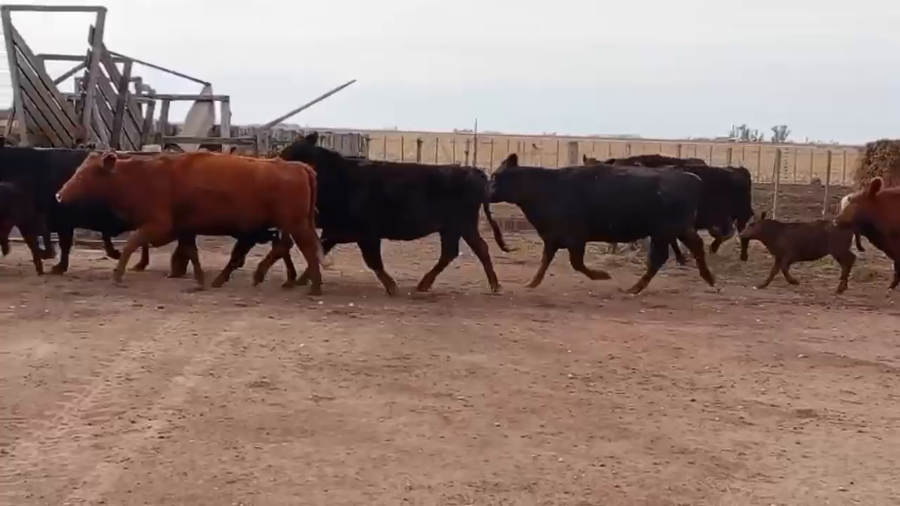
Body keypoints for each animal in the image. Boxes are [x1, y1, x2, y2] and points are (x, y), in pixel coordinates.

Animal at [55, 151, 324, 294]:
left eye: (84, 174)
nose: (59, 195)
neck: (145, 176)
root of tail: (299, 166)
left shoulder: (158, 225)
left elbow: (132, 243)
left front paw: (117, 274)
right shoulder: (184, 229)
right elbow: (191, 252)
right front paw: (200, 280)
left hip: (295, 225)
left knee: (308, 249)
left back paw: (314, 286)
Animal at [268, 132, 511, 296]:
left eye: (291, 153)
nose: (274, 163)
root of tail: (474, 171)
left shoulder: (366, 234)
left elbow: (373, 261)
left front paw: (391, 286)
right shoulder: (336, 230)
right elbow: (321, 250)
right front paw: (301, 279)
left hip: (456, 226)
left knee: (454, 252)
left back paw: (426, 284)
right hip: (462, 227)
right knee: (478, 249)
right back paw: (493, 284)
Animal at [489, 153, 715, 294]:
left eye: (495, 177)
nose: (487, 191)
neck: (545, 188)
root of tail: (691, 178)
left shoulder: (575, 238)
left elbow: (577, 264)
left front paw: (602, 275)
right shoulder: (552, 238)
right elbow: (545, 261)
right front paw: (532, 283)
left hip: (669, 230)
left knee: (682, 250)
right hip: (669, 232)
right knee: (673, 254)